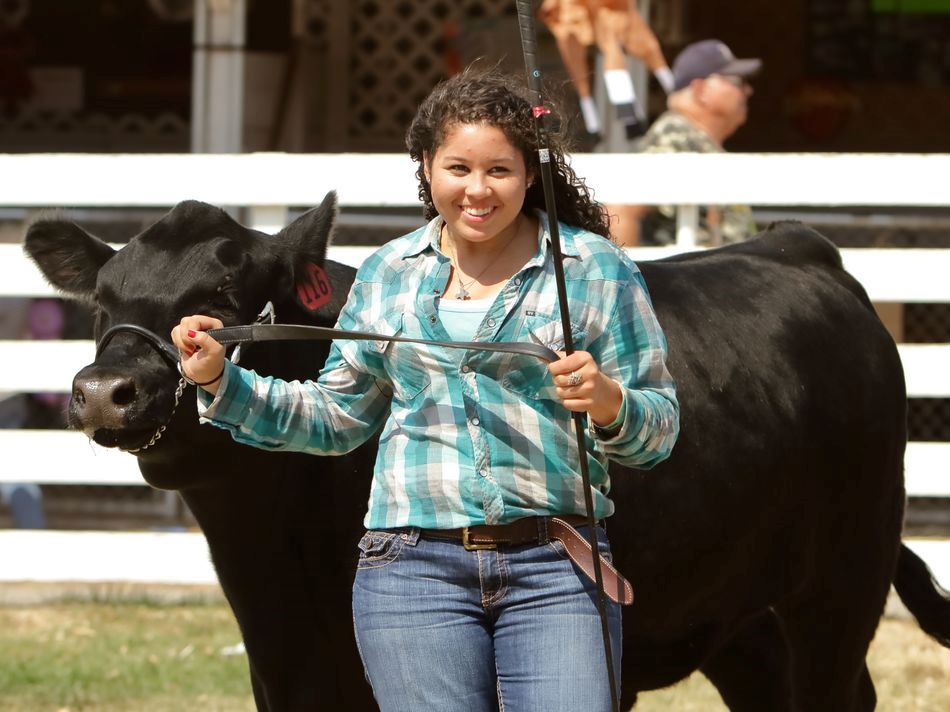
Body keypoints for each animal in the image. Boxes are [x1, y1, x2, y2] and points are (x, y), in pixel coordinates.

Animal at [25, 194, 950, 711]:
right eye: (100, 300)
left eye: (219, 297)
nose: (106, 390)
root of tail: (797, 247)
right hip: (738, 615)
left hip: (841, 581)